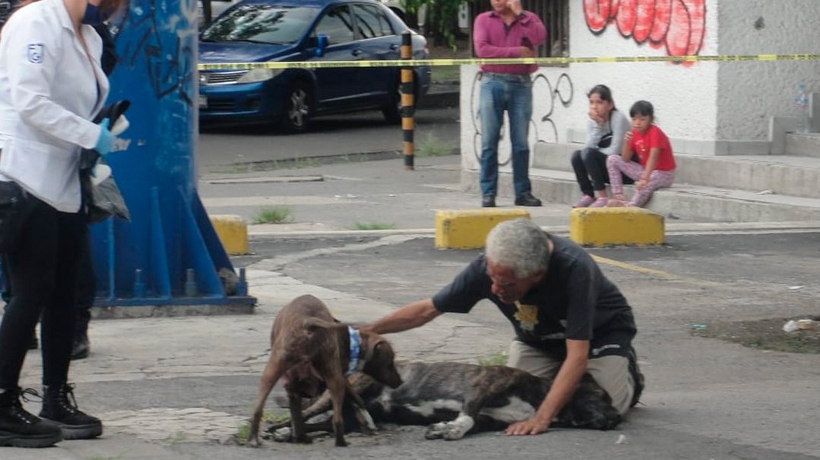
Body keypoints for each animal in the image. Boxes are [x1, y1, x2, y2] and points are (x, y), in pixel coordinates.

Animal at [250, 296, 404, 448]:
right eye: (390, 363)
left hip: (272, 372)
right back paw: (341, 442)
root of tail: (308, 322)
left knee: (259, 409)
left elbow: (296, 414)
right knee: (337, 419)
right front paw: (368, 423)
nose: (400, 381)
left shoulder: (296, 386)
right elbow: (357, 399)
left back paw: (258, 438)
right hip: (333, 376)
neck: (350, 342)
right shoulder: (342, 378)